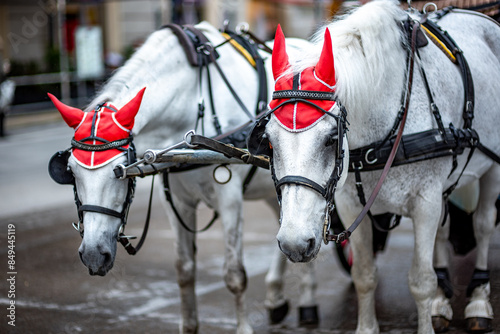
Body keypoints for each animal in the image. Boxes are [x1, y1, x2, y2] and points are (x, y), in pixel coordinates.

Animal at [47, 22, 320, 332]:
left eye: (119, 171)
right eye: (71, 172)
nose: (93, 254)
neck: (192, 99)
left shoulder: (230, 200)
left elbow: (234, 275)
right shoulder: (177, 201)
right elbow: (184, 270)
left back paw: (308, 302)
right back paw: (277, 298)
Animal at [258, 1, 500, 332]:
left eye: (331, 139)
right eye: (269, 141)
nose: (294, 243)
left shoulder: (425, 202)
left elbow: (421, 281)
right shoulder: (349, 205)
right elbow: (364, 275)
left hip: (491, 169)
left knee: (484, 224)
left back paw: (478, 298)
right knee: (444, 229)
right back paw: (441, 301)